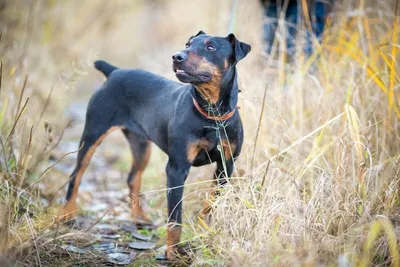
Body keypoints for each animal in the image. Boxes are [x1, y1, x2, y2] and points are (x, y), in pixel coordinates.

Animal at [60, 30, 250, 260]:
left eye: (210, 47)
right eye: (188, 44)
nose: (177, 56)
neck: (212, 115)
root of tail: (114, 72)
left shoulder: (226, 165)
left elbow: (212, 201)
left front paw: (205, 227)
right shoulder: (177, 168)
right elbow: (175, 218)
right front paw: (172, 252)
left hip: (141, 144)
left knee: (133, 177)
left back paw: (138, 217)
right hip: (93, 133)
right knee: (76, 173)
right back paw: (68, 214)